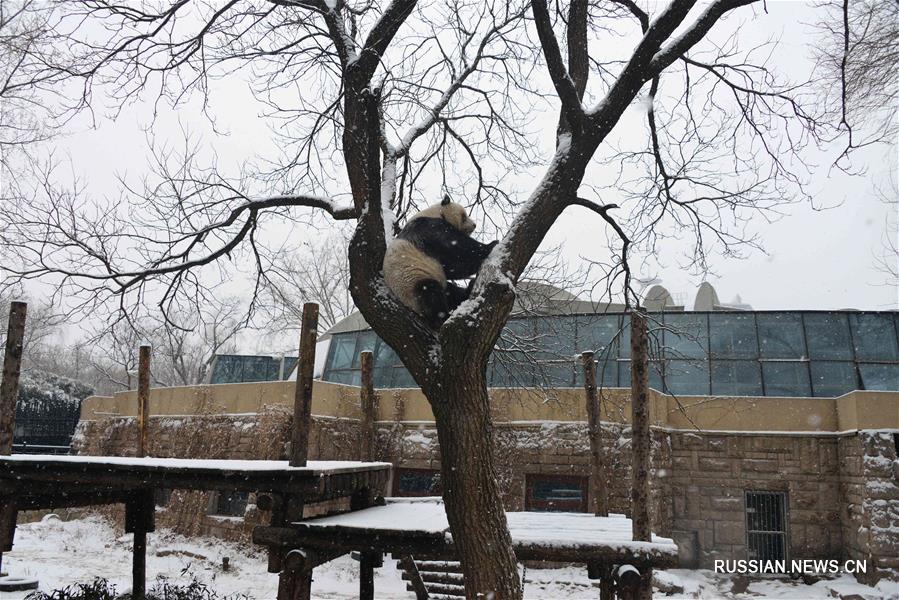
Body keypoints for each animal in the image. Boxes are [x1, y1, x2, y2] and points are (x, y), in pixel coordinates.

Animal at [384, 196, 500, 328]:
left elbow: (452, 267)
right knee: (431, 293)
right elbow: (456, 249)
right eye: (464, 216)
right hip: (411, 283)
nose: (474, 225)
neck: (436, 212)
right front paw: (491, 245)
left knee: (450, 291)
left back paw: (468, 289)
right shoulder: (428, 228)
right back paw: (442, 318)